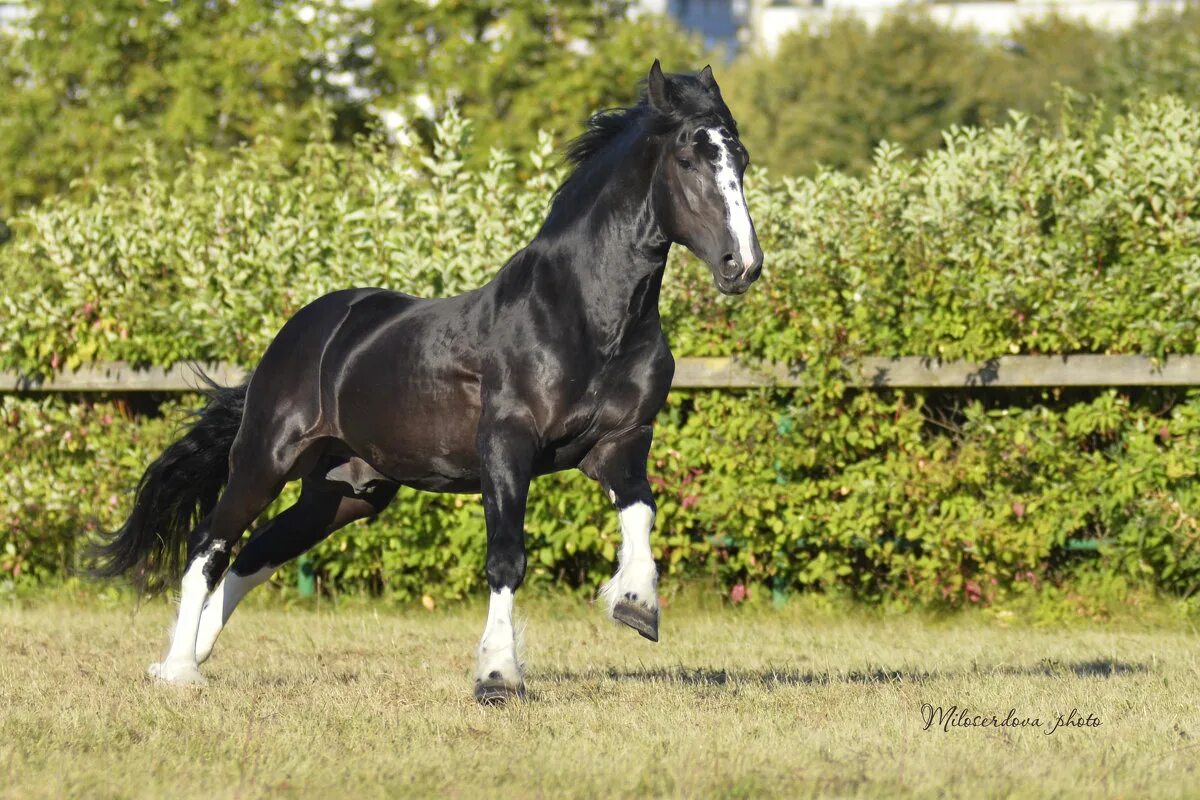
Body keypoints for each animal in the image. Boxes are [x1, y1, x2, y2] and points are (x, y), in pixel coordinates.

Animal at [98, 61, 763, 700]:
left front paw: (636, 605)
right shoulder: (506, 446)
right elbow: (506, 558)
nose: (743, 265)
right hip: (265, 459)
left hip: (346, 490)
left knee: (256, 554)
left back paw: (186, 657)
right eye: (688, 158)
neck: (585, 316)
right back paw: (179, 669)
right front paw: (497, 676)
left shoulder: (619, 442)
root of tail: (299, 335)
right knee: (210, 544)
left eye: (741, 159)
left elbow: (642, 512)